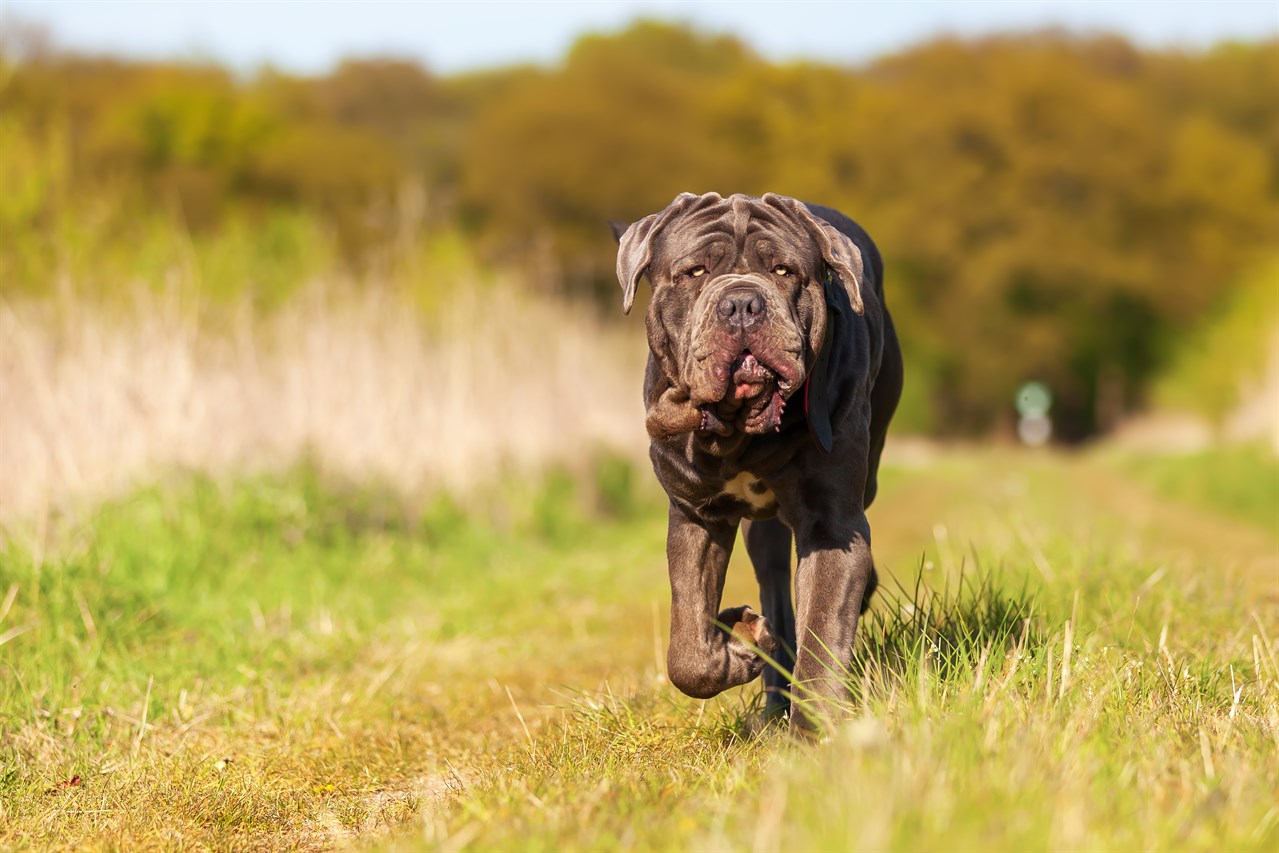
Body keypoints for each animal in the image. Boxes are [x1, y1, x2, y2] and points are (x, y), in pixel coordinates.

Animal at [613, 193, 905, 736]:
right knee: (775, 595)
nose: (743, 304)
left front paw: (811, 735)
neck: (740, 434)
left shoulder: (833, 523)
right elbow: (687, 647)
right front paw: (737, 650)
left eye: (785, 270)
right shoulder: (696, 515)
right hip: (760, 534)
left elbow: (823, 635)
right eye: (695, 271)